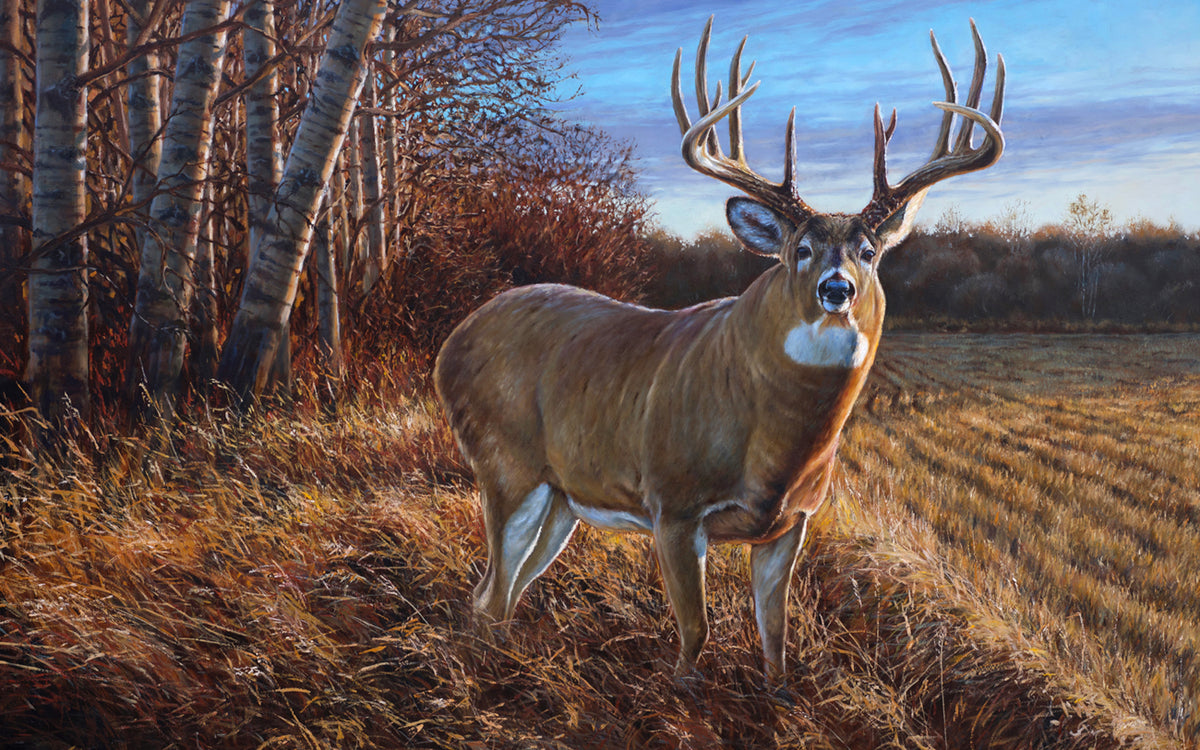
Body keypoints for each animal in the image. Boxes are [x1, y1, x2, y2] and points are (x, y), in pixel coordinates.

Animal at [434, 17, 1004, 690]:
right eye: (800, 248)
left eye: (869, 252)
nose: (836, 289)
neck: (774, 446)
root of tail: (452, 343)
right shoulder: (674, 504)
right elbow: (695, 632)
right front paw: (682, 692)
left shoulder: (792, 521)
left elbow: (775, 635)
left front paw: (779, 694)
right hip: (504, 462)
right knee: (493, 591)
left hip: (560, 496)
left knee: (496, 592)